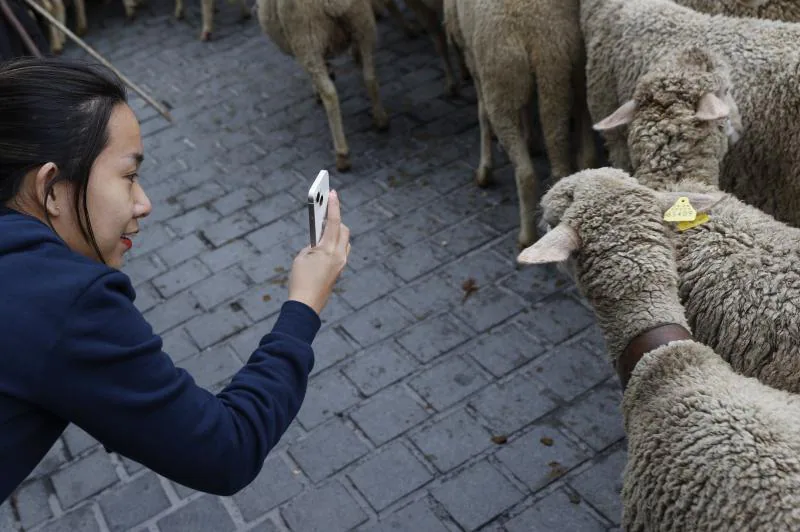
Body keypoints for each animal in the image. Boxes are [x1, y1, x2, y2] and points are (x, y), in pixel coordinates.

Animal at [444, 0, 600, 247]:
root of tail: (538, 39)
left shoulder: (471, 56)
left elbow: (481, 112)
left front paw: (484, 168)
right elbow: (525, 106)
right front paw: (532, 139)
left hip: (501, 85)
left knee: (525, 172)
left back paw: (526, 237)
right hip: (568, 71)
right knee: (577, 137)